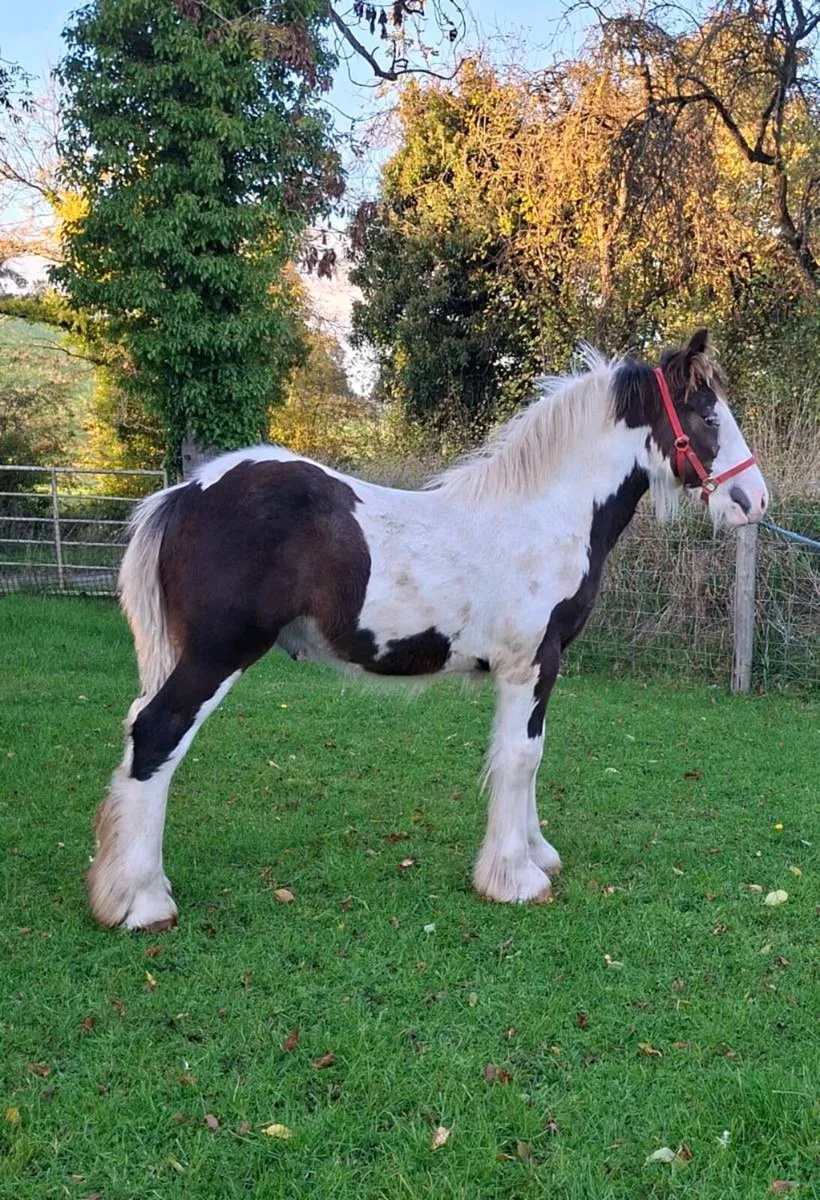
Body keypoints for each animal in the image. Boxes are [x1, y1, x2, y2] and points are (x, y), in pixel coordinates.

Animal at [89, 328, 768, 931]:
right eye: (708, 415)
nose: (754, 501)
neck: (545, 514)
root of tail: (187, 492)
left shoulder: (531, 670)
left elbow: (528, 754)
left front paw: (537, 854)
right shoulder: (532, 663)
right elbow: (521, 756)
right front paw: (514, 879)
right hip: (216, 656)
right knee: (157, 736)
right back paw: (142, 902)